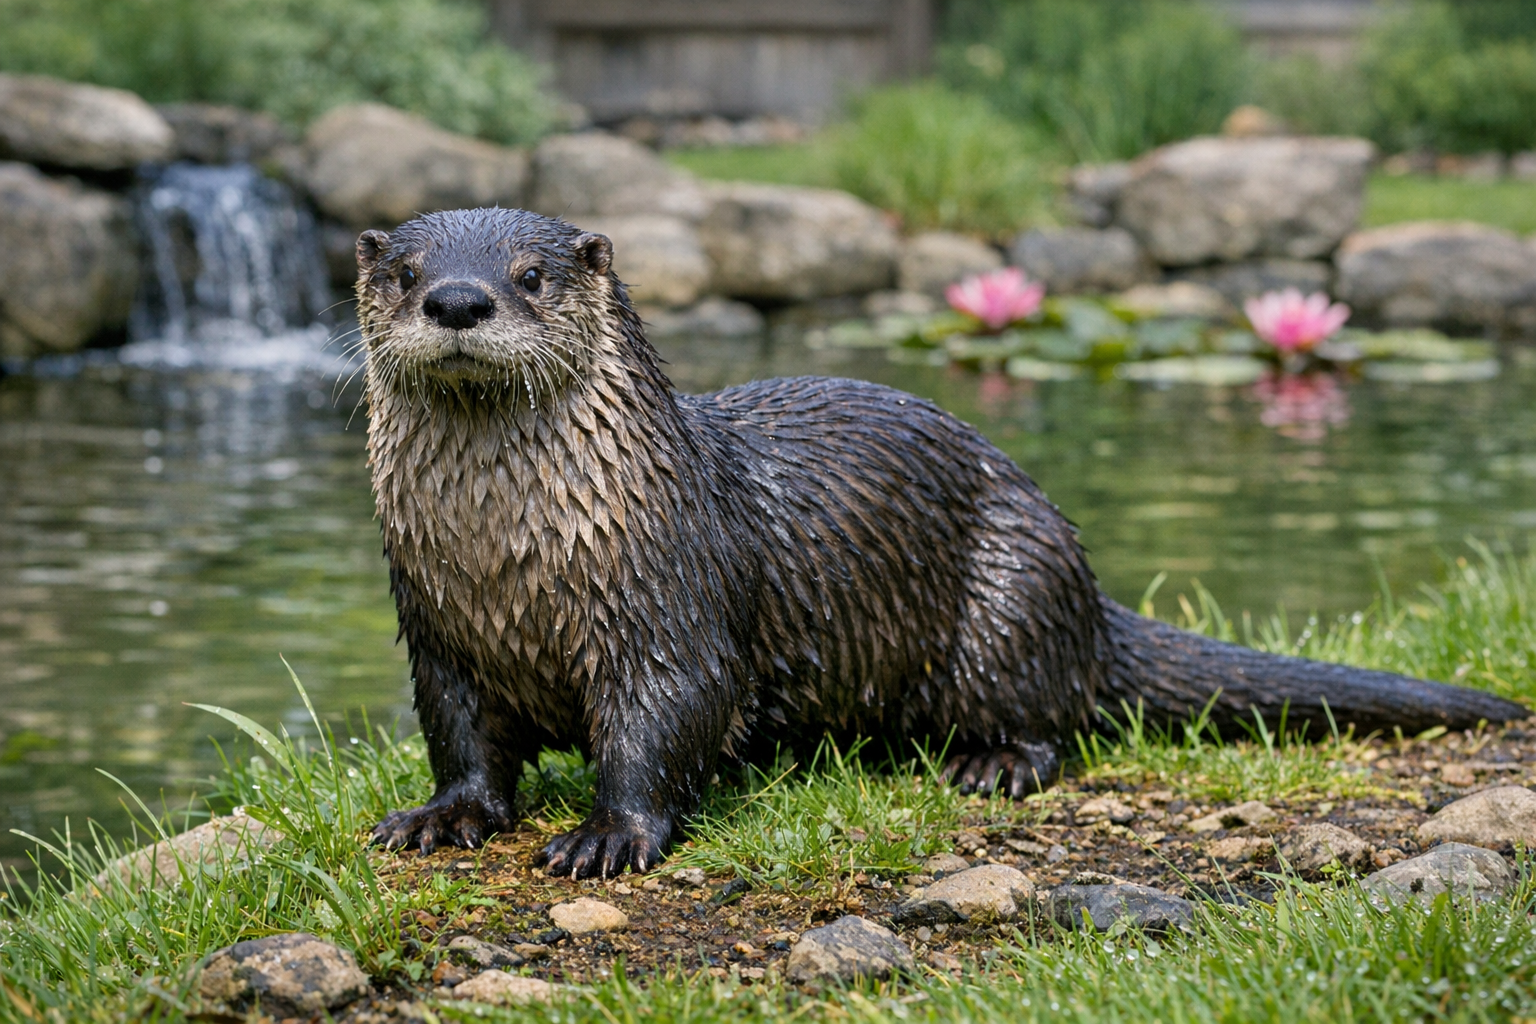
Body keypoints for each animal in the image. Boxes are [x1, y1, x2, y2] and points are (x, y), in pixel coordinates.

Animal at [357, 208, 1525, 878]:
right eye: (403, 271)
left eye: (531, 273)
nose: (456, 299)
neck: (510, 563)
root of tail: (1088, 588)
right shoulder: (437, 631)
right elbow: (462, 740)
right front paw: (438, 818)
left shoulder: (669, 607)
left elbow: (664, 724)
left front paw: (610, 834)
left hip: (1014, 590)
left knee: (1052, 718)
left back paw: (991, 765)